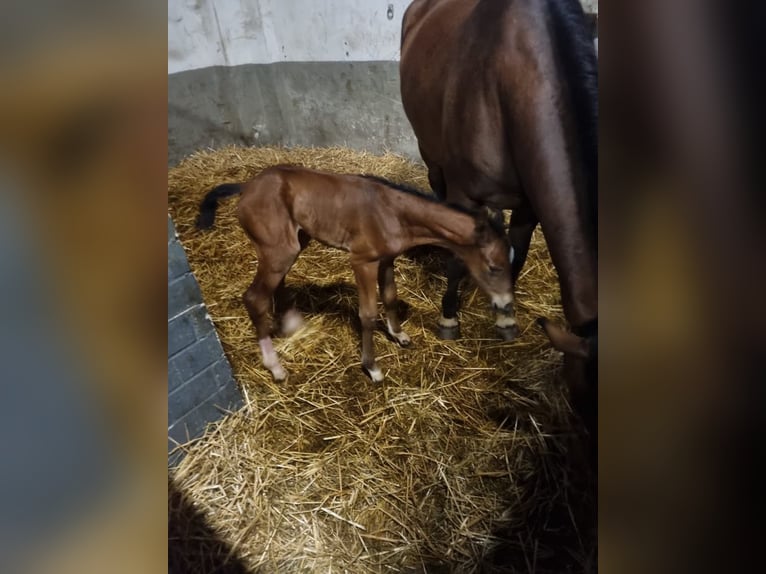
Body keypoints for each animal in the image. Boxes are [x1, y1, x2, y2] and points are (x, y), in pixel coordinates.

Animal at [195, 165, 512, 382]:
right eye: (493, 267)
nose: (505, 305)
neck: (393, 213)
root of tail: (246, 185)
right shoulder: (362, 261)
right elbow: (368, 313)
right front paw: (372, 367)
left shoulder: (386, 259)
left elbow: (391, 296)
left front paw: (399, 335)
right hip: (278, 249)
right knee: (255, 297)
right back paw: (275, 367)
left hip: (294, 242)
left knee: (277, 284)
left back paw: (290, 323)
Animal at [402, 0, 600, 436]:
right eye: (585, 408)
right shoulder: (464, 194)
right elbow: (456, 260)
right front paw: (448, 320)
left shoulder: (529, 204)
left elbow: (518, 255)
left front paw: (504, 315)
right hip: (430, 152)